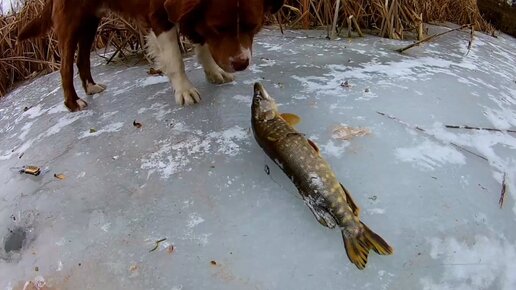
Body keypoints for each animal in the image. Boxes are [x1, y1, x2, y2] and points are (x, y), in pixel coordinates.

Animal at [18, 0, 282, 111]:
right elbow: (175, 58)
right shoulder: (161, 15)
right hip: (72, 20)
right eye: (220, 28)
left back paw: (91, 87)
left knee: (82, 57)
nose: (241, 63)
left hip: (90, 21)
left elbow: (202, 44)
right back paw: (73, 103)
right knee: (64, 65)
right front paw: (184, 90)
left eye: (254, 26)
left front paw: (214, 72)